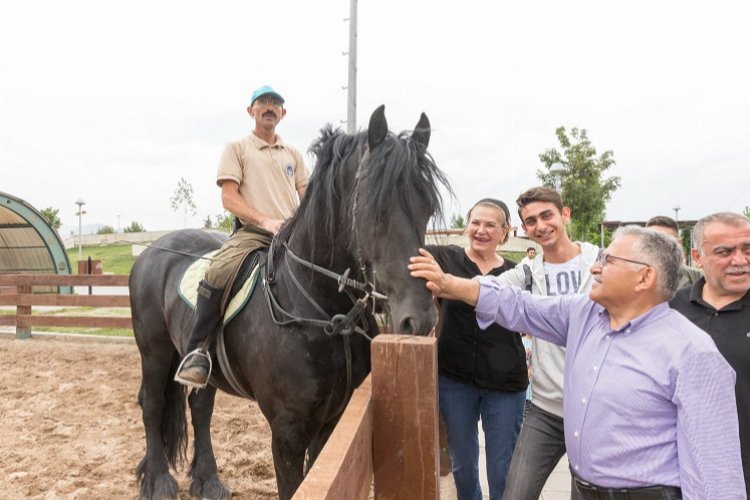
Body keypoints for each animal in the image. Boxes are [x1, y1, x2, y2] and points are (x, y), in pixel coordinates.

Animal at [128, 103, 452, 498]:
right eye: (375, 209)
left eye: (426, 207)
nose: (419, 319)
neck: (322, 312)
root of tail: (153, 250)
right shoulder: (288, 431)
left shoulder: (332, 422)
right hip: (155, 351)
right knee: (152, 404)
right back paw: (158, 481)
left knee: (200, 405)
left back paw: (209, 480)